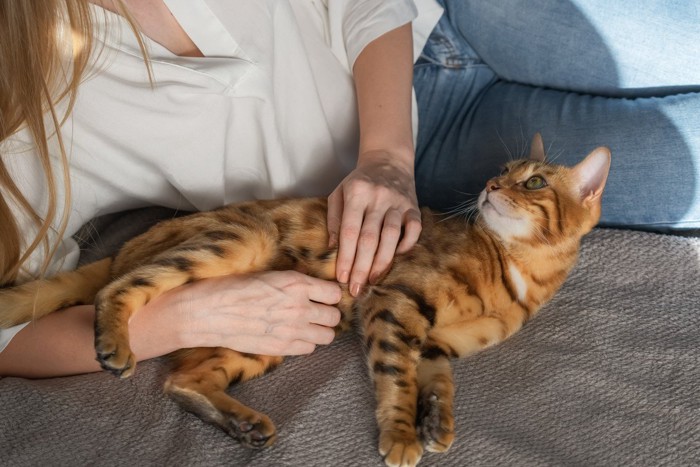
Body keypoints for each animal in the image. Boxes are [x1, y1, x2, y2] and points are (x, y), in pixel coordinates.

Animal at [0, 133, 608, 466]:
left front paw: (437, 423)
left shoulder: (439, 342)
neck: (516, 272)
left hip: (271, 338)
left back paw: (242, 424)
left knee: (183, 380)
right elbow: (398, 379)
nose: (487, 189)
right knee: (117, 289)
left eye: (534, 182)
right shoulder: (395, 305)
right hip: (240, 245)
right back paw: (115, 344)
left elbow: (438, 385)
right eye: (499, 173)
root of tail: (122, 247)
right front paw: (401, 436)